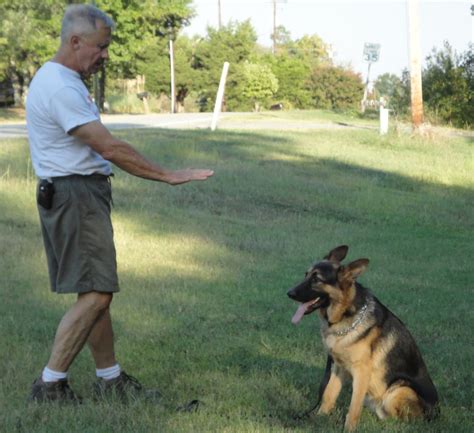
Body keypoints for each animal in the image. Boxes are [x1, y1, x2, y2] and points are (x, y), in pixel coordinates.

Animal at [286, 245, 438, 430]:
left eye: (317, 279)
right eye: (306, 275)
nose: (289, 293)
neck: (346, 316)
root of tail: (437, 412)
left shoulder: (361, 373)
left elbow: (354, 407)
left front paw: (349, 429)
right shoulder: (339, 367)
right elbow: (328, 394)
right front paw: (319, 417)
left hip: (398, 390)